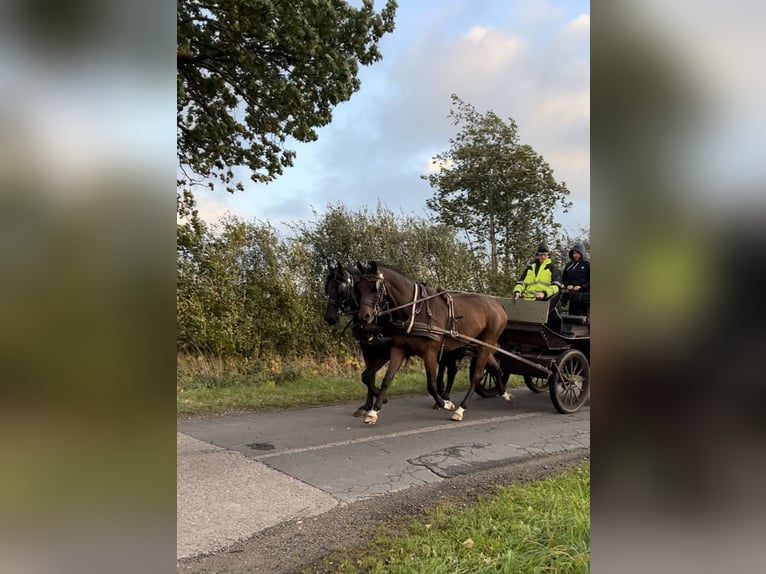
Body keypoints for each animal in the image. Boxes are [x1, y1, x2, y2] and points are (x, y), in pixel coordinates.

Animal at [320, 264, 464, 418]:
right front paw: (368, 405)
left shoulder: (385, 353)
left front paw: (380, 399)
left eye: (341, 289)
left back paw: (445, 398)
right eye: (327, 288)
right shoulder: (368, 352)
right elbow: (368, 377)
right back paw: (442, 396)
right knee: (445, 368)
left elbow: (368, 376)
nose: (329, 317)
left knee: (451, 370)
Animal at [356, 264, 512, 426]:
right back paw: (504, 393)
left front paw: (445, 403)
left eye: (374, 288)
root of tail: (498, 304)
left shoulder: (430, 352)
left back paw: (461, 409)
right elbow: (387, 379)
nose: (364, 316)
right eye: (359, 287)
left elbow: (431, 384)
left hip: (486, 343)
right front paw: (373, 411)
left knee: (476, 375)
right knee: (495, 367)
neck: (415, 311)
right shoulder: (398, 349)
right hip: (479, 343)